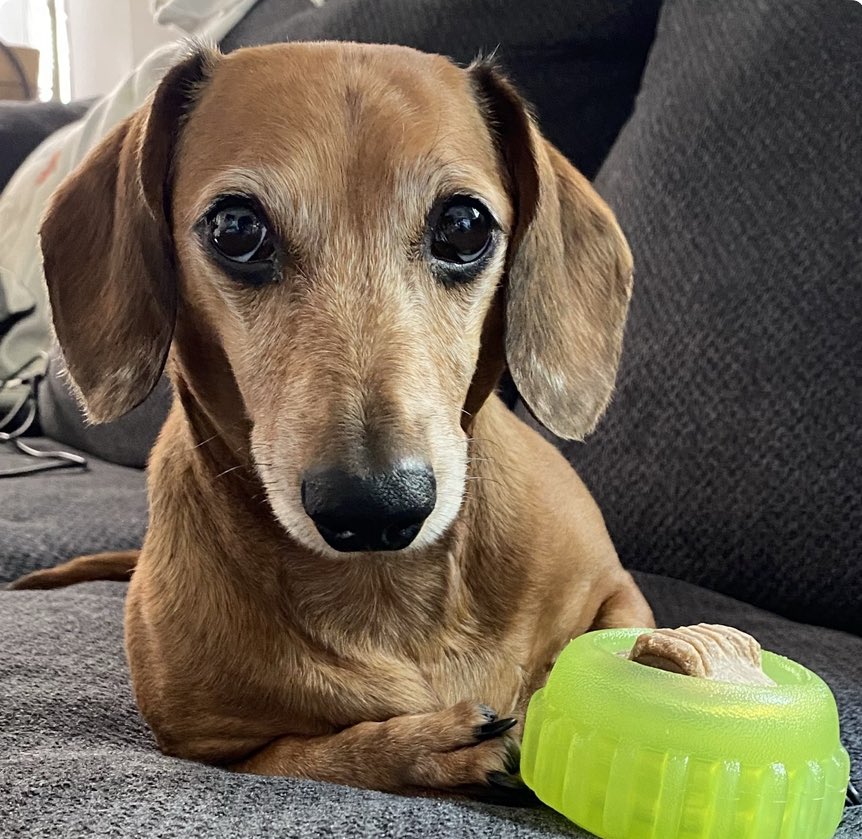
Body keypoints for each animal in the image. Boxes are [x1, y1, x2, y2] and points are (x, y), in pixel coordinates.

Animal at [10, 42, 652, 796]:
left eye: (464, 225)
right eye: (236, 228)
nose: (376, 510)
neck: (388, 593)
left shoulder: (617, 590)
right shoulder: (217, 750)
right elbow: (326, 751)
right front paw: (433, 743)